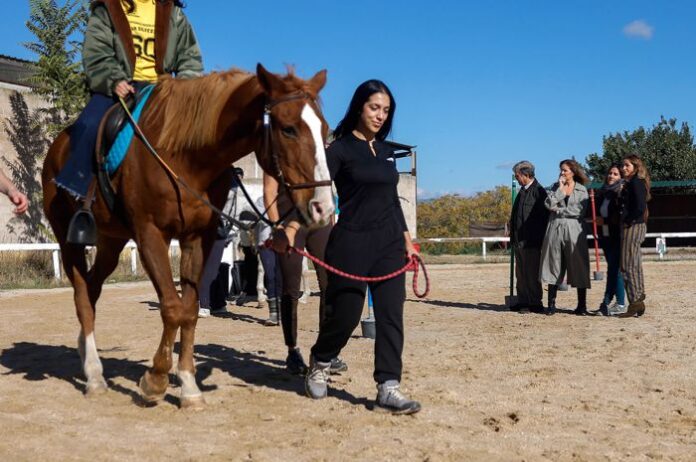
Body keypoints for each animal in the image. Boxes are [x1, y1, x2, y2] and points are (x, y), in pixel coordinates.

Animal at [41, 64, 334, 408]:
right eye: (288, 129)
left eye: (324, 129)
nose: (324, 207)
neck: (185, 157)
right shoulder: (150, 235)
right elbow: (171, 306)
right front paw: (155, 379)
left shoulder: (196, 239)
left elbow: (189, 309)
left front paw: (188, 385)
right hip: (67, 238)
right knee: (81, 297)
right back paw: (94, 374)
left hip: (111, 241)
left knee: (91, 289)